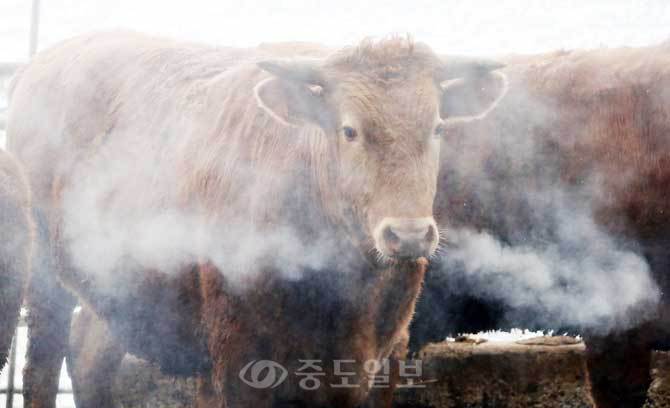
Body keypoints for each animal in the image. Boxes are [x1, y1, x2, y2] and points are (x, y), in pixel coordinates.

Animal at [7, 32, 506, 408]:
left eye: (437, 127)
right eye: (349, 130)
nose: (408, 235)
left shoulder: (384, 360)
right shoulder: (237, 360)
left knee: (89, 352)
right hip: (43, 282)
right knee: (43, 366)